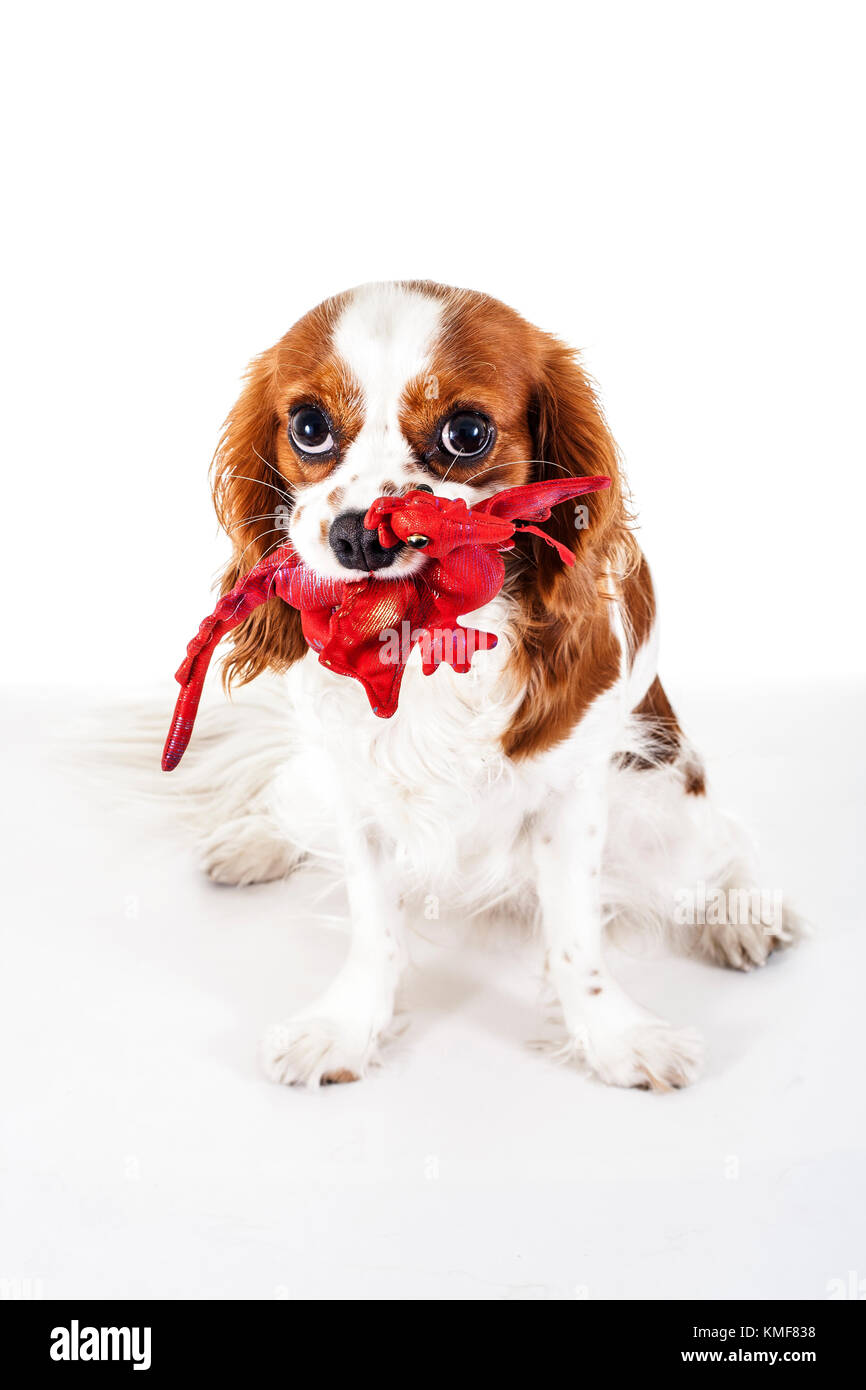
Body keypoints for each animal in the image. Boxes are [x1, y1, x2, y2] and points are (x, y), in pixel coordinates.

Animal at [180, 279, 800, 1084]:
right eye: (310, 427)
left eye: (467, 433)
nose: (360, 535)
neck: (426, 635)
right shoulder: (357, 789)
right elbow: (372, 926)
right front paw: (348, 1026)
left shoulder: (575, 796)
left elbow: (575, 942)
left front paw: (615, 1037)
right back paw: (256, 842)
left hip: (662, 796)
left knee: (720, 841)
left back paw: (743, 912)